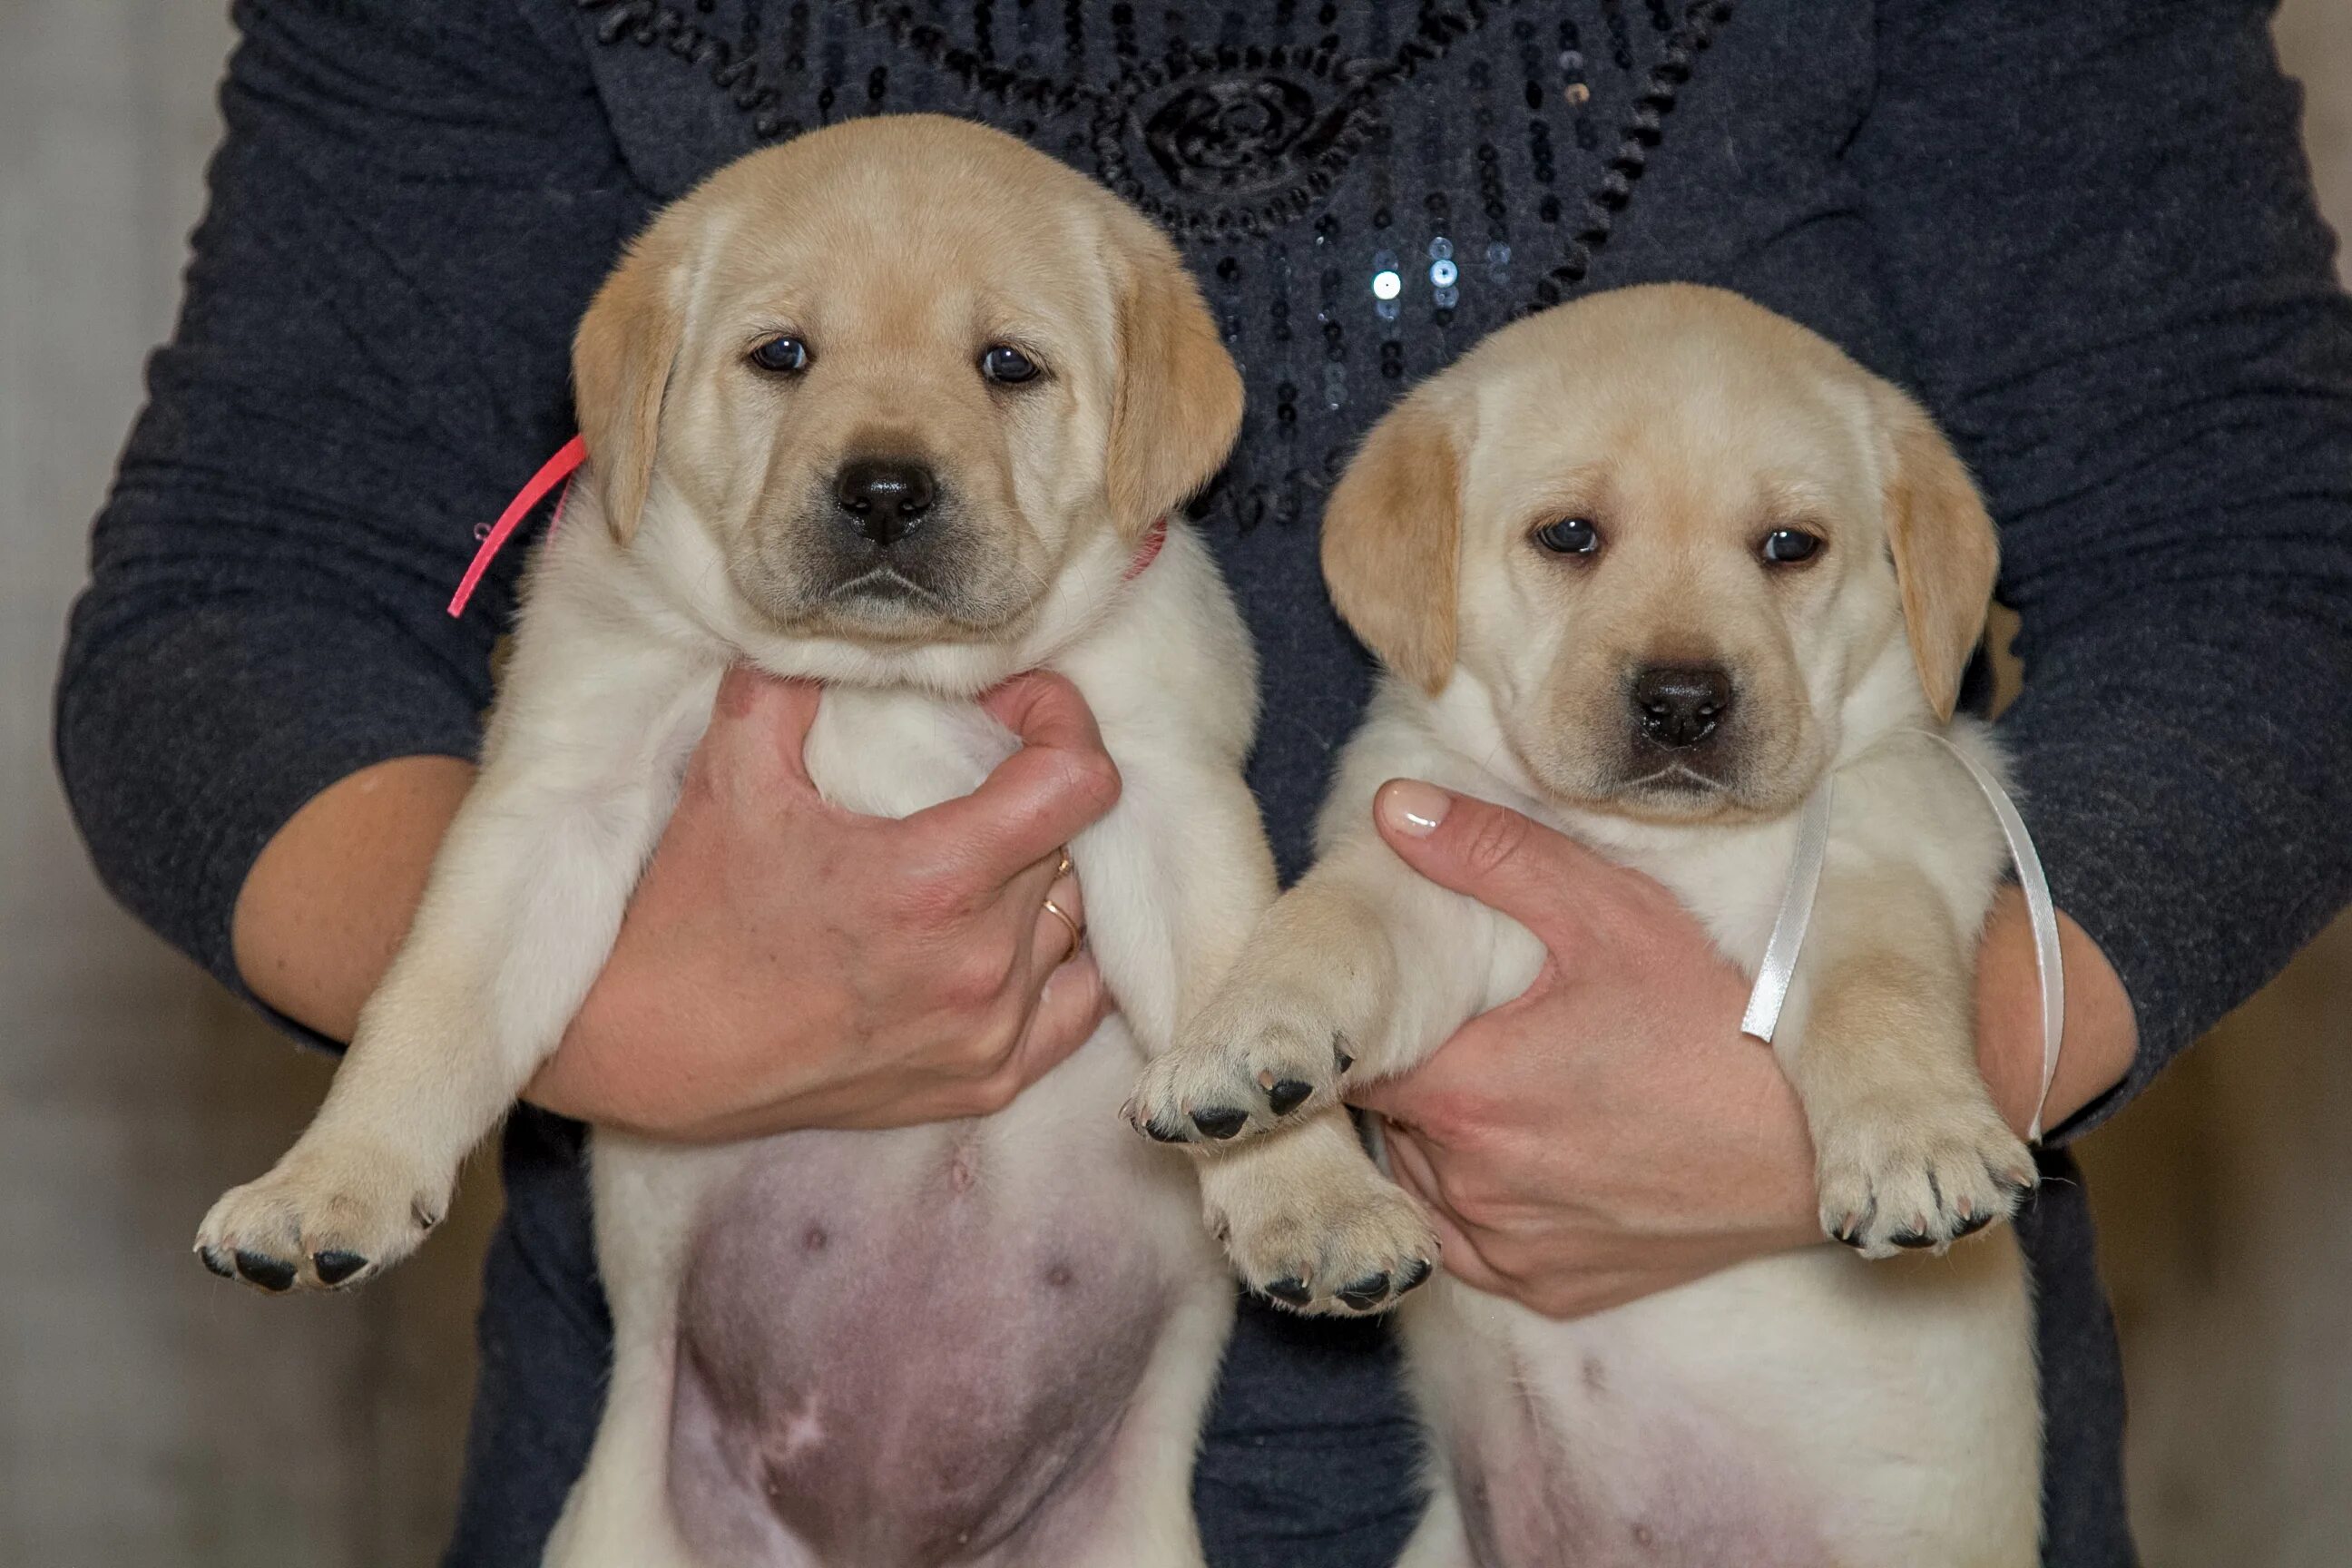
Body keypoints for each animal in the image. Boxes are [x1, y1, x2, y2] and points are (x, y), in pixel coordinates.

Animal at [192, 113, 1279, 1568]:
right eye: (783, 356)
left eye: (1008, 366)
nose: (885, 490)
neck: (879, 682)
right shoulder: (558, 794)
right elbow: (433, 1012)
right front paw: (331, 1184)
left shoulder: (1160, 780)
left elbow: (1240, 977)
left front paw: (1311, 1189)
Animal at [1133, 285, 2041, 1568]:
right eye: (1569, 536)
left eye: (1790, 546)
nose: (1683, 702)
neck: (1644, 841)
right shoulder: (1430, 878)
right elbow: (1329, 927)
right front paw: (1240, 1040)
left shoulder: (1881, 853)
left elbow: (1879, 991)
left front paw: (1918, 1140)